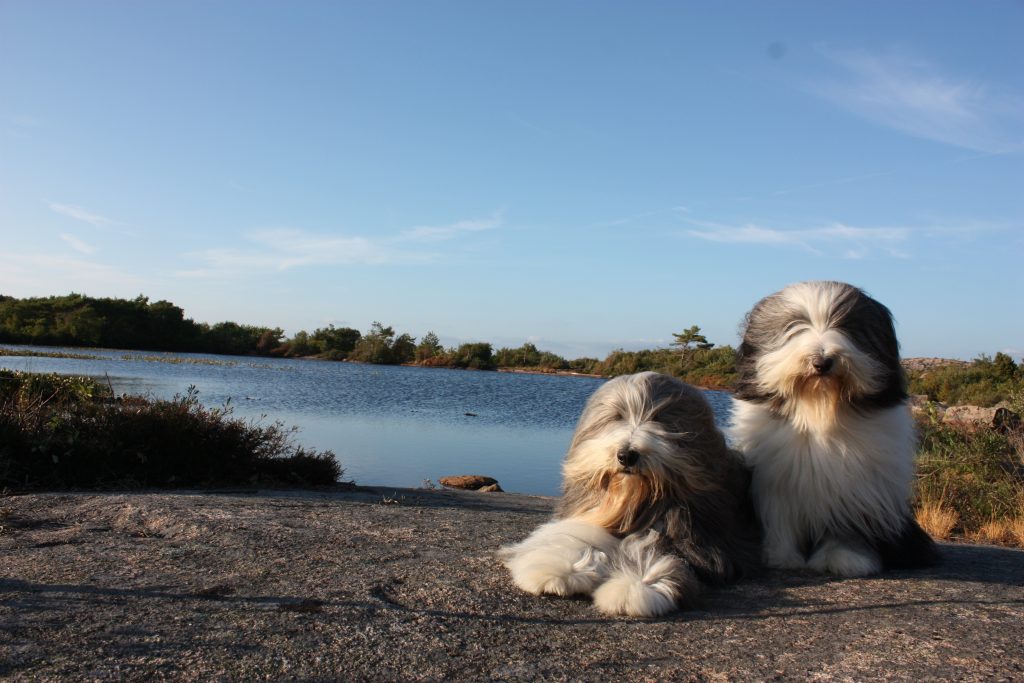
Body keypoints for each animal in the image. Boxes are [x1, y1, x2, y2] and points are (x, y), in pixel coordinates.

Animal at [497, 370, 761, 618]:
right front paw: (561, 571)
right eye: (617, 416)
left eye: (659, 417)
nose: (626, 455)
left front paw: (635, 587)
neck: (634, 500)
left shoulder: (698, 542)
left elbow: (658, 553)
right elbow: (575, 536)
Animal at [733, 278, 937, 577]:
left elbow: (844, 528)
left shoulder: (854, 488)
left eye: (845, 327)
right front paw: (781, 557)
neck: (819, 411)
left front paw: (843, 558)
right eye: (794, 326)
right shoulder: (776, 484)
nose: (822, 362)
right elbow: (780, 521)